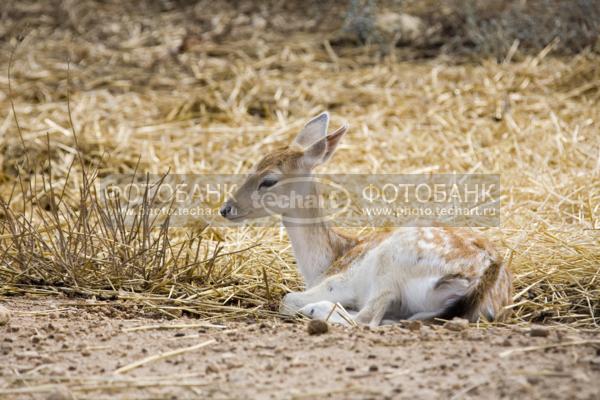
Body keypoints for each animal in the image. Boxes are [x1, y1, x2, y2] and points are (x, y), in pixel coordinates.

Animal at [220, 111, 510, 324]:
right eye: (254, 165)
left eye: (269, 180)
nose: (226, 208)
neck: (326, 261)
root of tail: (485, 279)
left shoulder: (341, 280)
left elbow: (288, 298)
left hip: (392, 264)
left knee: (366, 319)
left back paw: (316, 310)